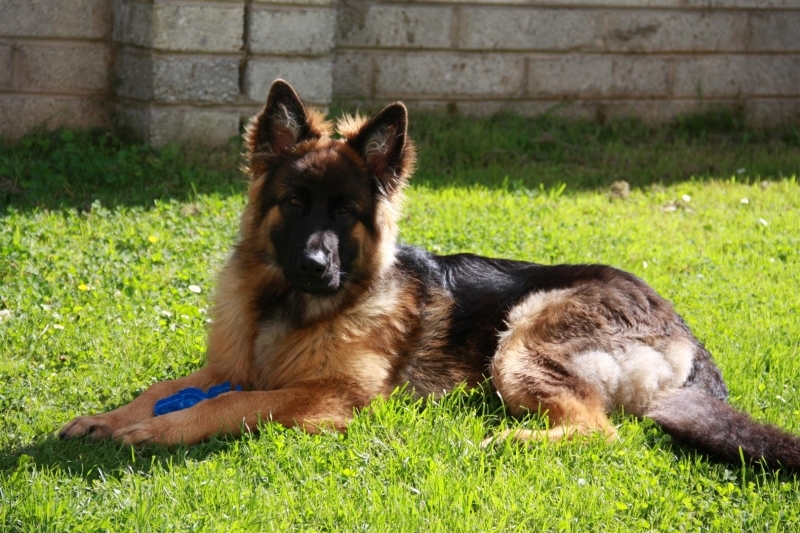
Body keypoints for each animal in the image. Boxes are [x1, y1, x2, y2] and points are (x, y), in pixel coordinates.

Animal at [60, 79, 800, 470]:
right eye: (295, 204)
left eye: (347, 212)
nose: (315, 264)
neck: (288, 308)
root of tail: (682, 326)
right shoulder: (226, 365)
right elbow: (165, 388)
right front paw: (106, 418)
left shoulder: (328, 401)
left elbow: (227, 405)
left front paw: (155, 431)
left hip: (521, 339)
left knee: (599, 428)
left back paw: (510, 438)